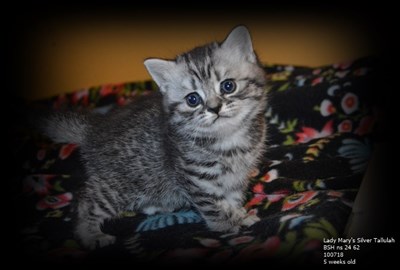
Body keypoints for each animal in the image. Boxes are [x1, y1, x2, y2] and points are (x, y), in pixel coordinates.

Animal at [42, 25, 268, 249]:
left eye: (228, 86)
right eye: (193, 99)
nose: (214, 108)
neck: (229, 140)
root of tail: (96, 127)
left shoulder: (238, 177)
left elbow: (232, 198)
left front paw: (239, 214)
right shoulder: (198, 179)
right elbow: (214, 206)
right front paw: (228, 225)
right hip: (117, 185)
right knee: (85, 202)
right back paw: (90, 234)